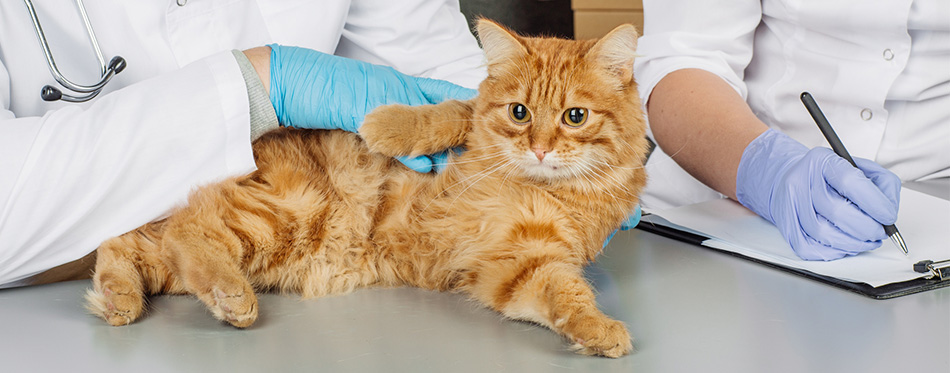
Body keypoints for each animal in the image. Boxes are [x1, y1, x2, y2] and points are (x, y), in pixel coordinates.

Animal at [85, 21, 652, 358]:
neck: (532, 184)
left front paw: (597, 328)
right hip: (284, 212)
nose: (538, 149)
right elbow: (448, 112)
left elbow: (567, 295)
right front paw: (387, 125)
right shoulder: (468, 131)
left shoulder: (523, 263)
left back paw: (119, 297)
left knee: (137, 243)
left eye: (574, 117)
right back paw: (227, 296)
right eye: (519, 113)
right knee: (185, 231)